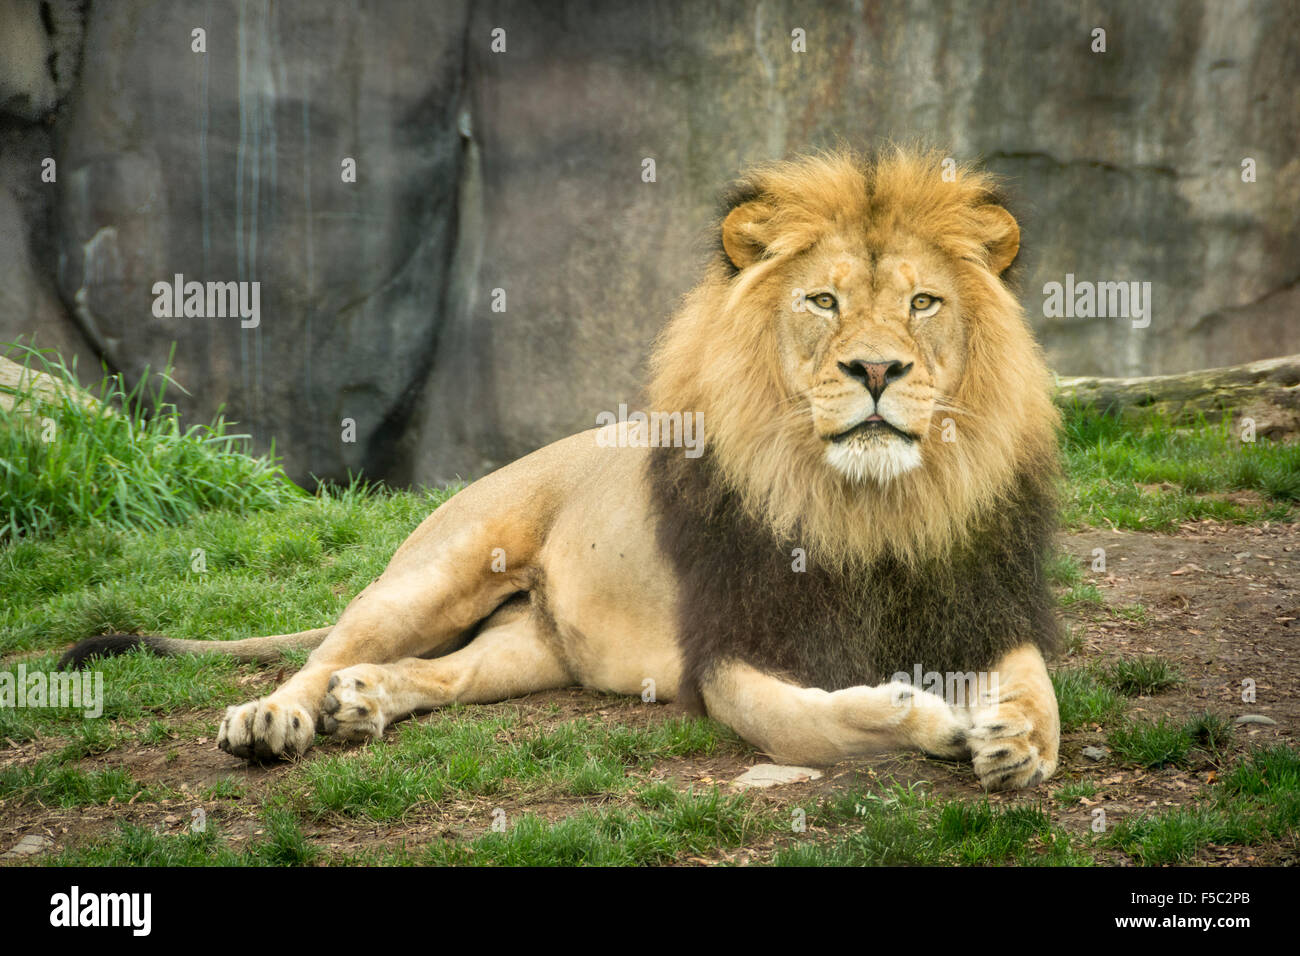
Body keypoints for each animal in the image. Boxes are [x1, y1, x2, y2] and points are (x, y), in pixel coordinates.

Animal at [61, 149, 1060, 790]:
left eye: (923, 302)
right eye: (822, 300)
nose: (877, 370)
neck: (873, 504)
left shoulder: (984, 601)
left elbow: (1034, 680)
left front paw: (1016, 738)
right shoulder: (728, 650)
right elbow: (813, 722)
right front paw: (931, 719)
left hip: (531, 644)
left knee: (440, 673)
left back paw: (366, 702)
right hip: (439, 570)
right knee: (329, 648)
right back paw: (275, 718)